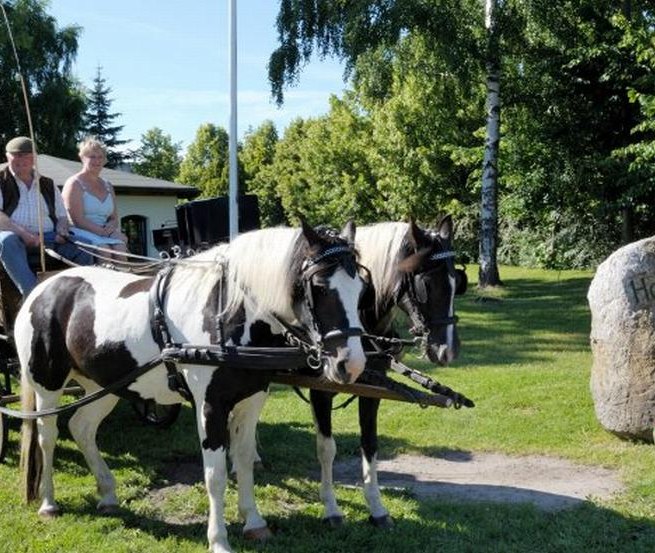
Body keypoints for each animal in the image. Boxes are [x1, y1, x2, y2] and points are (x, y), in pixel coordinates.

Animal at [16, 220, 368, 552]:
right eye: (319, 286)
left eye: (361, 287)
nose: (350, 364)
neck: (227, 315)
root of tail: (44, 287)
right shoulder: (210, 406)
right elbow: (215, 475)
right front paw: (219, 540)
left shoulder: (251, 400)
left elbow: (243, 461)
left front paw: (254, 522)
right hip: (47, 385)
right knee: (47, 436)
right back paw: (48, 503)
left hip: (103, 386)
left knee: (82, 427)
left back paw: (107, 492)